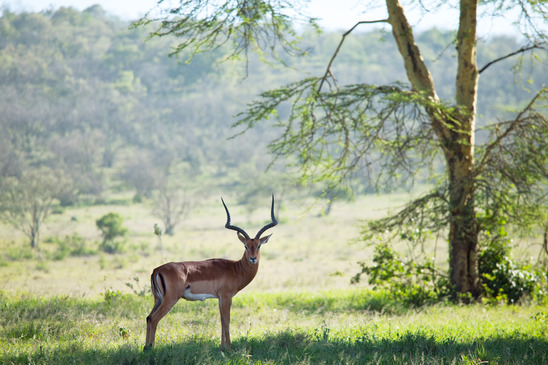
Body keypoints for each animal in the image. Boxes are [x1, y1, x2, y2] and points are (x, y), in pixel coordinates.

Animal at [144, 193, 278, 350]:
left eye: (258, 246)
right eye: (245, 246)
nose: (253, 259)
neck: (235, 269)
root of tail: (156, 270)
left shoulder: (220, 298)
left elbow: (221, 321)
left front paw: (222, 348)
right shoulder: (226, 297)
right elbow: (227, 321)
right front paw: (229, 349)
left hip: (158, 299)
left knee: (148, 317)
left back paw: (146, 348)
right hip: (170, 299)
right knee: (154, 318)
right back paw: (151, 349)